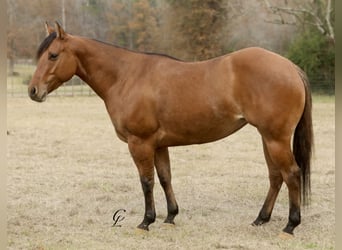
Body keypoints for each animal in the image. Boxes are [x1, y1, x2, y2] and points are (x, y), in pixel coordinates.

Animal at [28, 22, 312, 235]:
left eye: (53, 55)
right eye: (40, 55)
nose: (33, 91)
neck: (126, 76)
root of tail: (291, 68)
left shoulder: (140, 143)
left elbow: (147, 181)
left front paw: (146, 221)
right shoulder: (159, 144)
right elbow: (165, 178)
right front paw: (170, 216)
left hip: (275, 139)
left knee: (291, 174)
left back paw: (290, 225)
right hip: (267, 138)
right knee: (275, 176)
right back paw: (260, 219)